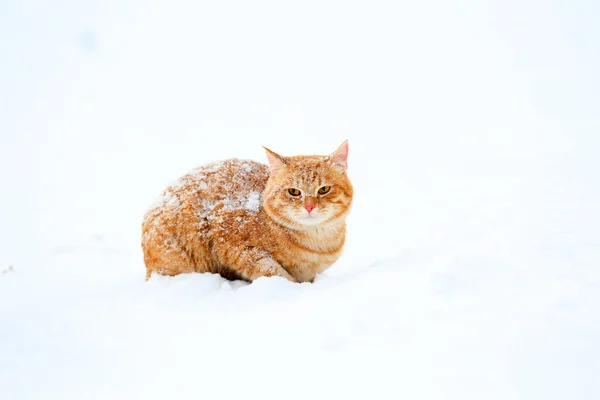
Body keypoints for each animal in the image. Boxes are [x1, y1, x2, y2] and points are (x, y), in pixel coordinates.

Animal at [142, 141, 352, 282]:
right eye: (294, 192)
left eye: (324, 189)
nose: (309, 206)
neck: (317, 244)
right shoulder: (232, 243)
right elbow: (273, 271)